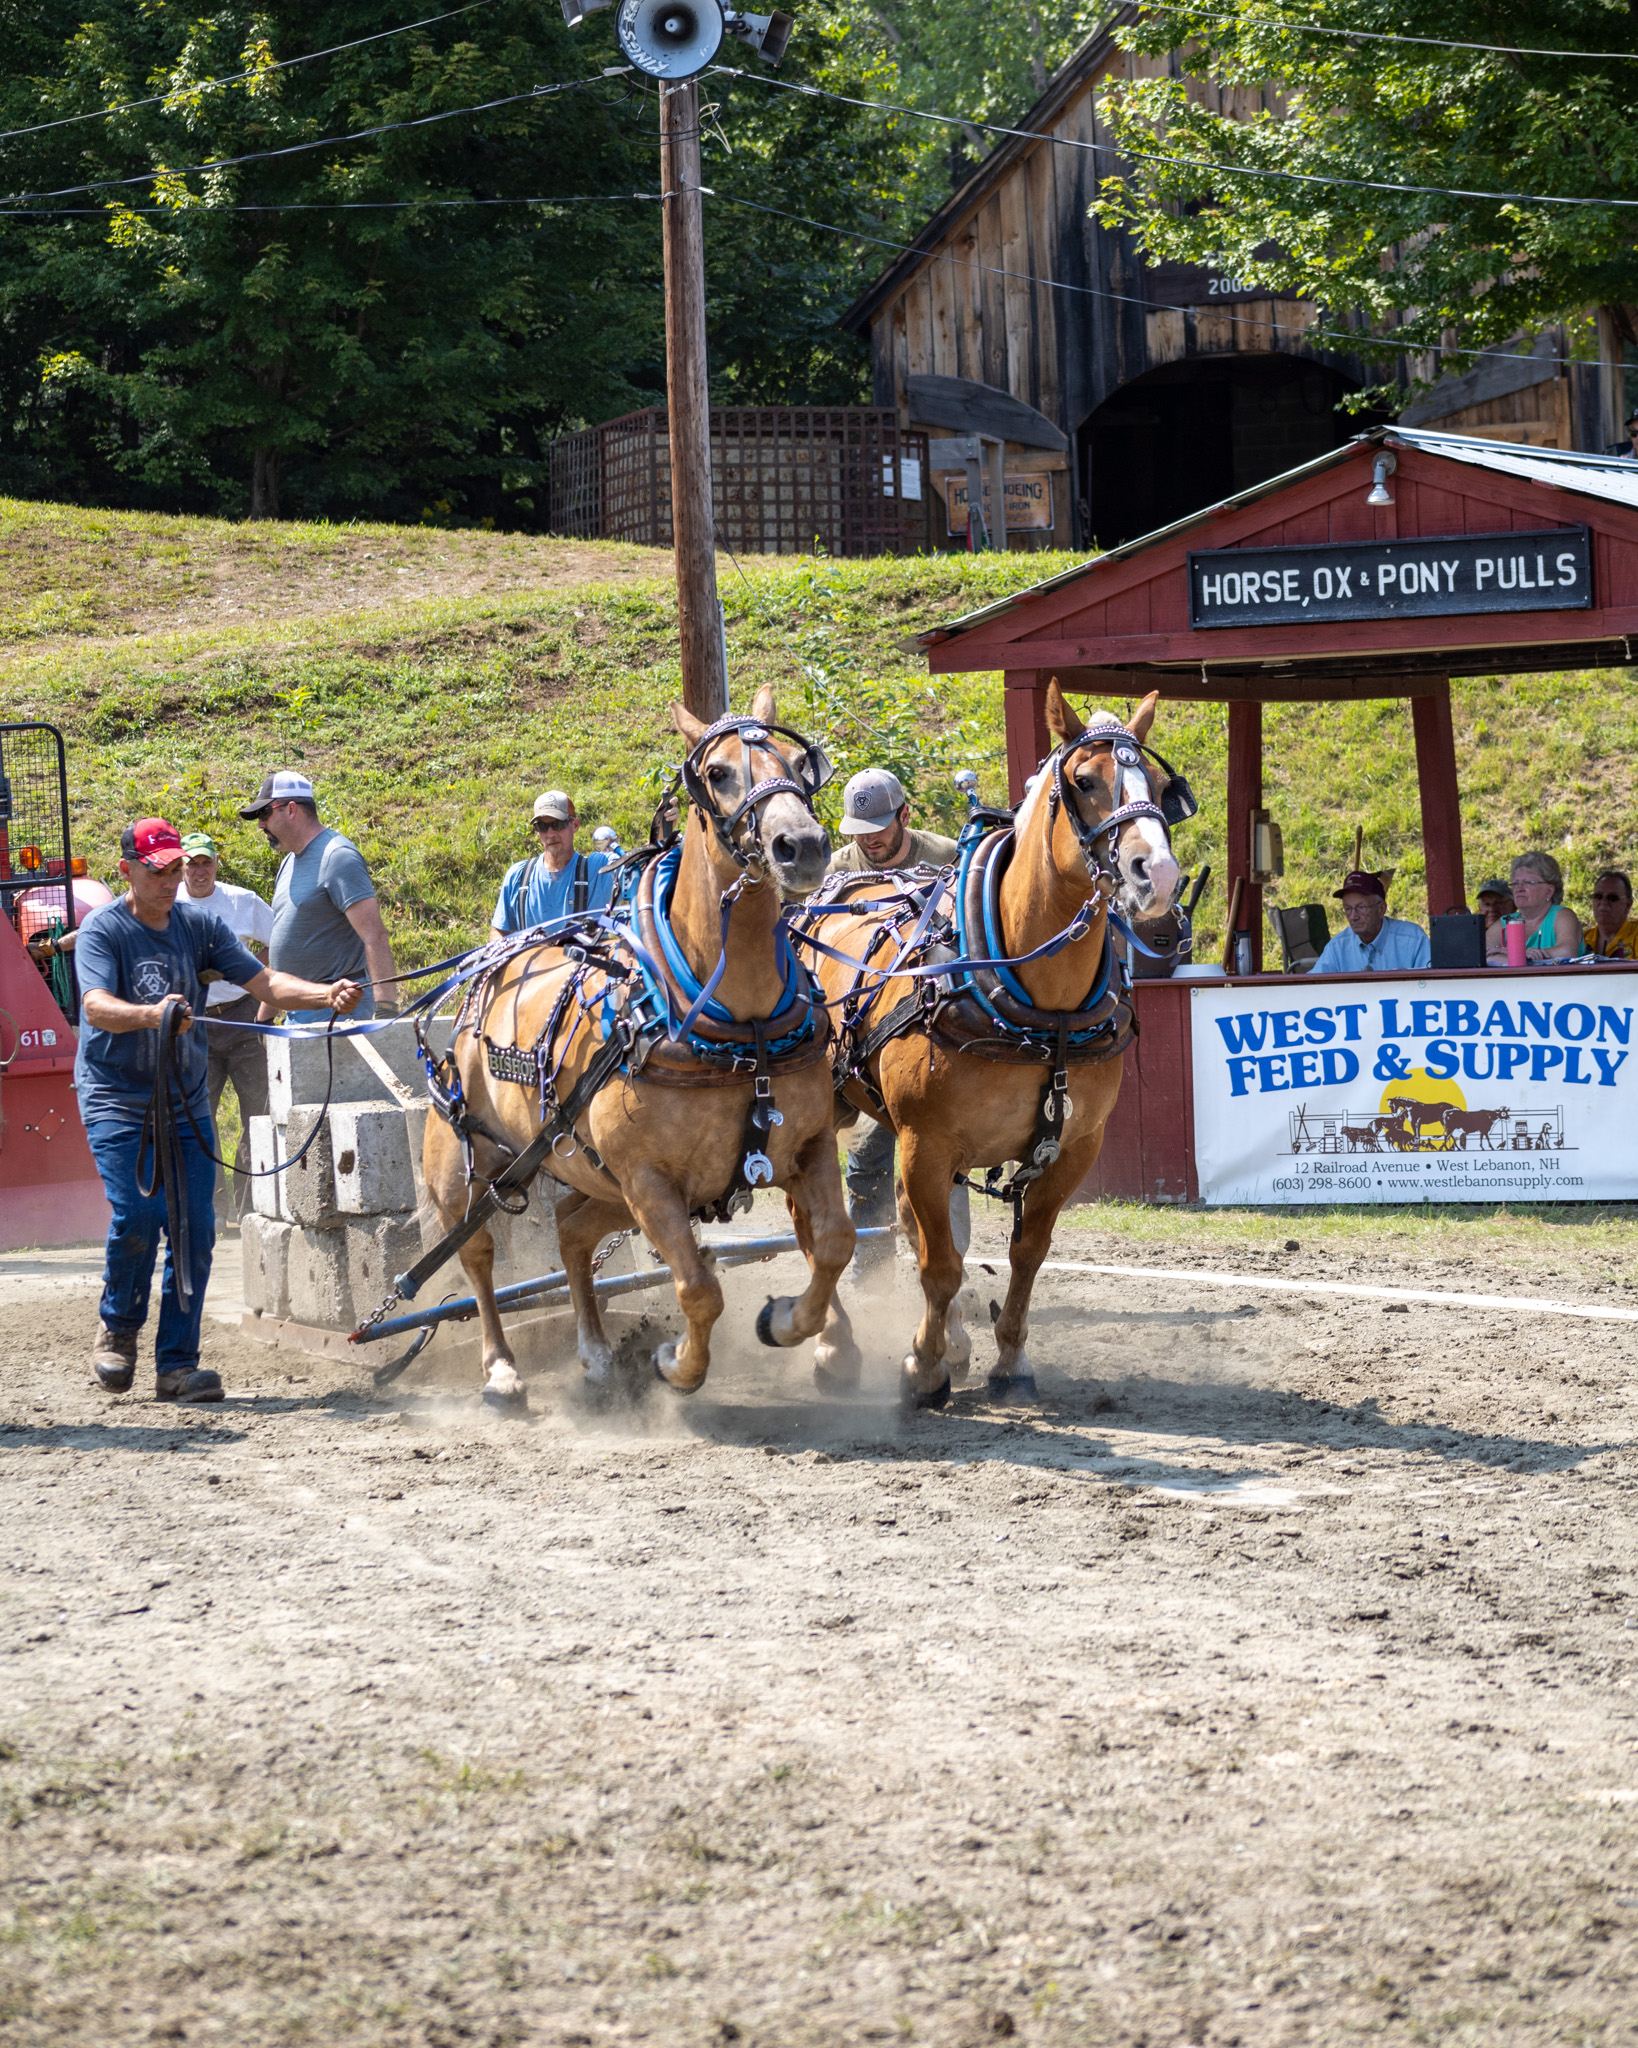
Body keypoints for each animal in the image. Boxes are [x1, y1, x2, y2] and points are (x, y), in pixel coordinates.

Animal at [419, 687, 857, 1408]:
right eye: (717, 773)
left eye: (800, 764)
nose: (803, 845)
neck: (743, 1030)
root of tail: (495, 964)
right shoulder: (650, 1182)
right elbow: (699, 1288)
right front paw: (679, 1364)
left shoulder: (810, 1145)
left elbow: (833, 1243)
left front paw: (797, 1326)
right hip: (469, 1161)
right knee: (477, 1253)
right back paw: (502, 1367)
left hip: (599, 1180)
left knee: (571, 1230)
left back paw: (596, 1354)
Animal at [795, 680, 1182, 1410]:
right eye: (1084, 781)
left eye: (1163, 786)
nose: (1160, 875)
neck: (1041, 1008)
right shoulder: (926, 1142)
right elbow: (940, 1264)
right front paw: (922, 1367)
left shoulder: (1073, 1148)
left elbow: (1024, 1254)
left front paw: (1007, 1359)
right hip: (816, 1110)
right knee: (813, 1220)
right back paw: (834, 1345)